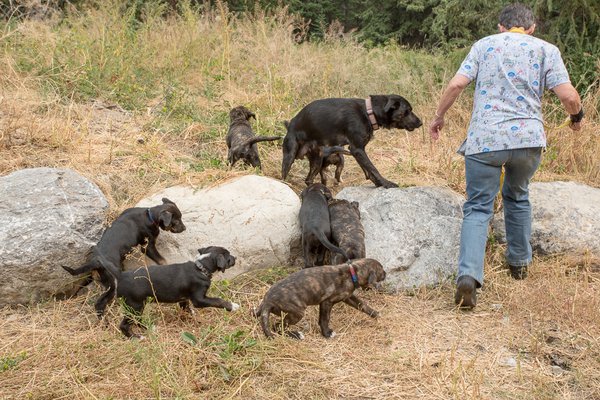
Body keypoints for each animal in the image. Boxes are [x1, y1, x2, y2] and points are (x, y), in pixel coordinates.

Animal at [252, 258, 384, 340]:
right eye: (381, 270)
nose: (386, 273)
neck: (352, 273)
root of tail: (267, 301)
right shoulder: (327, 302)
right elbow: (325, 319)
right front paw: (327, 333)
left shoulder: (348, 297)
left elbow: (362, 305)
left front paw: (376, 314)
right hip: (297, 312)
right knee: (278, 326)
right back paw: (296, 335)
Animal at [282, 94, 422, 188]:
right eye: (407, 111)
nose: (421, 123)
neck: (368, 112)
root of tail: (290, 124)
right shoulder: (357, 149)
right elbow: (373, 168)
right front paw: (386, 183)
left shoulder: (358, 151)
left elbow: (368, 170)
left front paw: (378, 184)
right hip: (290, 155)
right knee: (283, 175)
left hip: (317, 160)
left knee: (308, 180)